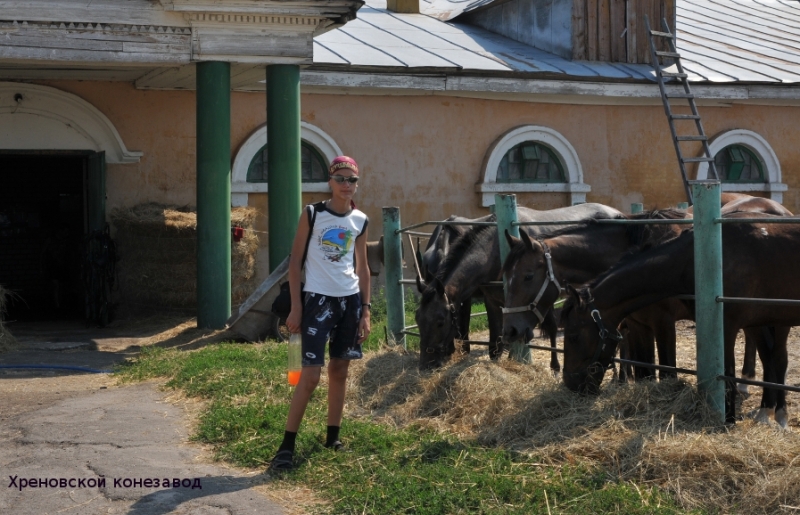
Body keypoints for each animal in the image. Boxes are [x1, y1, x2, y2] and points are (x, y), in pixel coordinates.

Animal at [560, 214, 800, 428]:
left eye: (573, 336)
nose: (570, 384)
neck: (697, 260)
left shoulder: (720, 326)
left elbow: (724, 374)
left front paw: (728, 421)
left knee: (778, 359)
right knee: (770, 358)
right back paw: (768, 412)